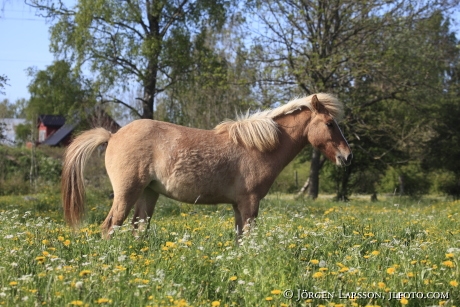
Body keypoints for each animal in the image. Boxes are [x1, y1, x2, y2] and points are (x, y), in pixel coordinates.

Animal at [62, 92, 352, 239]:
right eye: (329, 124)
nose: (347, 156)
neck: (257, 147)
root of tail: (112, 136)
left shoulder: (238, 206)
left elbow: (239, 238)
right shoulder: (250, 203)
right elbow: (248, 238)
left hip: (148, 193)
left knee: (138, 228)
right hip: (127, 193)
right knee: (110, 227)